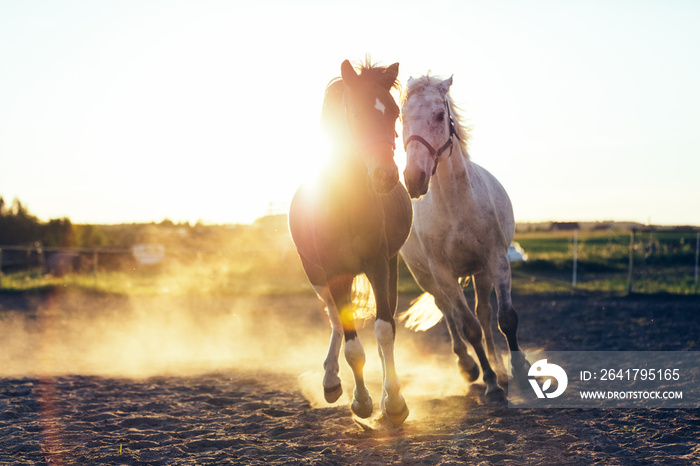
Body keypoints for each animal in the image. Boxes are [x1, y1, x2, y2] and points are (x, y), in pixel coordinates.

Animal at [288, 59, 412, 426]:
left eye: (394, 112)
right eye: (356, 114)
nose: (386, 175)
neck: (348, 203)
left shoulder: (378, 263)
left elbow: (384, 330)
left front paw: (393, 402)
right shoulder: (334, 272)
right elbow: (352, 345)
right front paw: (361, 402)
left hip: (391, 266)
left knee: (387, 325)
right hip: (315, 275)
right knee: (334, 320)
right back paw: (330, 381)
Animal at [400, 73, 532, 400]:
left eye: (439, 115)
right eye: (402, 117)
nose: (414, 179)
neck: (455, 204)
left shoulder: (496, 261)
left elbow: (505, 318)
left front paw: (518, 371)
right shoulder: (443, 274)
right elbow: (469, 326)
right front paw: (490, 382)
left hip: (480, 273)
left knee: (484, 313)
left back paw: (500, 367)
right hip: (427, 278)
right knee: (448, 312)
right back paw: (469, 367)